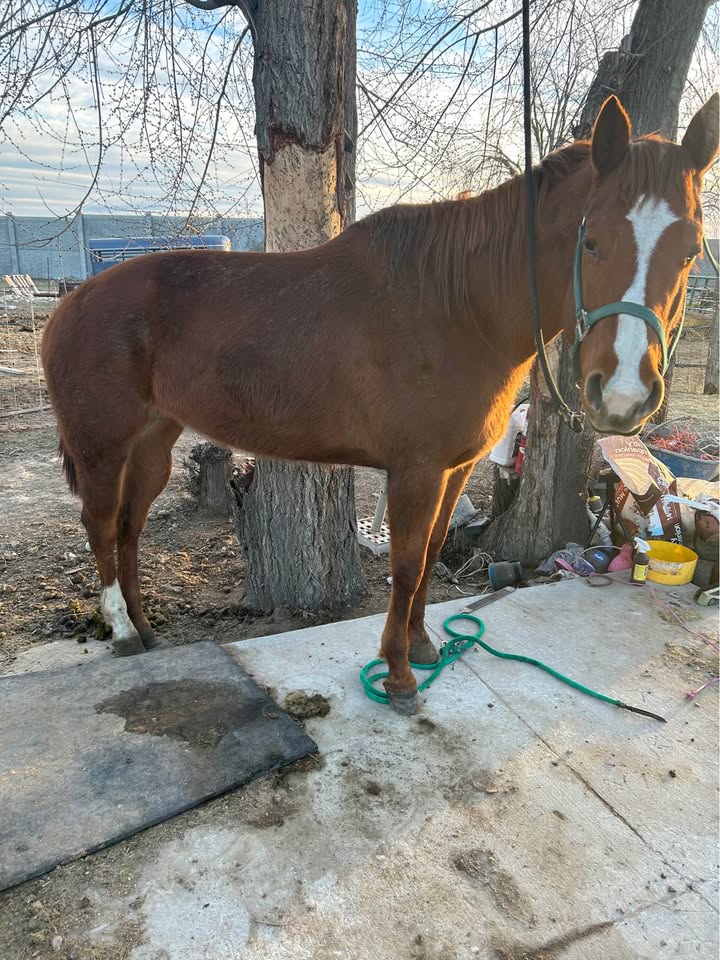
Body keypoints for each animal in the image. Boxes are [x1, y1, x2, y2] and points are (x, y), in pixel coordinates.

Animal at [42, 94, 718, 714]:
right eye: (593, 242)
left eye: (690, 251)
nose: (623, 394)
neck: (459, 307)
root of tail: (73, 301)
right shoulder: (415, 471)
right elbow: (407, 564)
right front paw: (398, 675)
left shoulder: (454, 468)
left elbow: (432, 553)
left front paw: (420, 646)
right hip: (102, 446)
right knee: (100, 526)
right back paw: (122, 630)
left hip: (153, 442)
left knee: (129, 528)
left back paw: (145, 630)